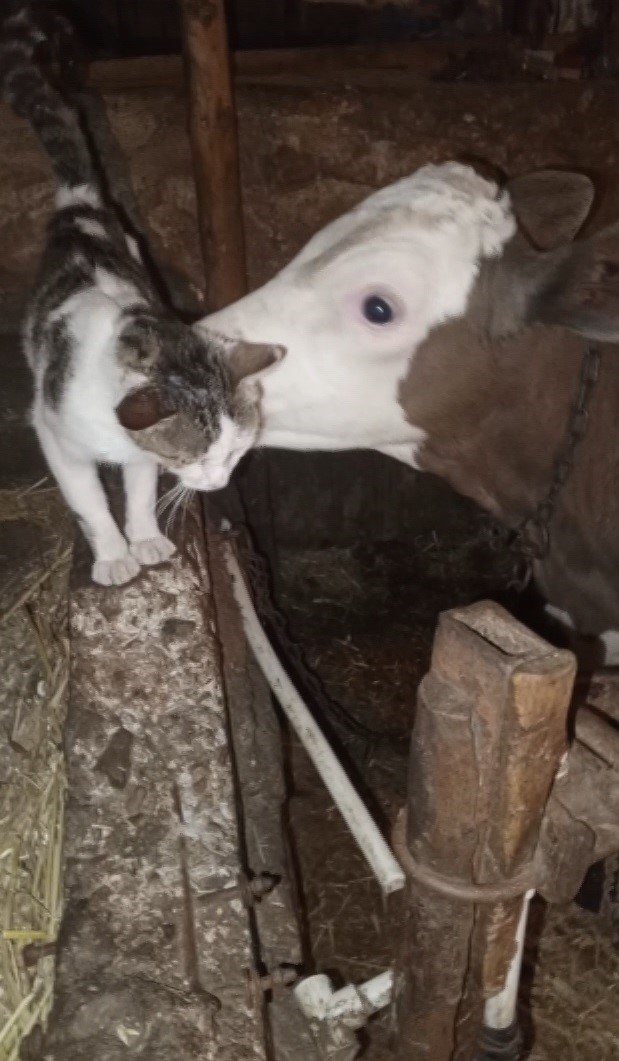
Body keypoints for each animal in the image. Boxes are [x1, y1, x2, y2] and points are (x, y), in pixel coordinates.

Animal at [0, 8, 282, 585]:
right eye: (195, 458)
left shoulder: (140, 453)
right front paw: (112, 554)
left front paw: (146, 537)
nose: (219, 484)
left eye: (236, 450)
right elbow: (89, 501)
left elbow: (139, 489)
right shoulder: (54, 435)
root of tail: (80, 207)